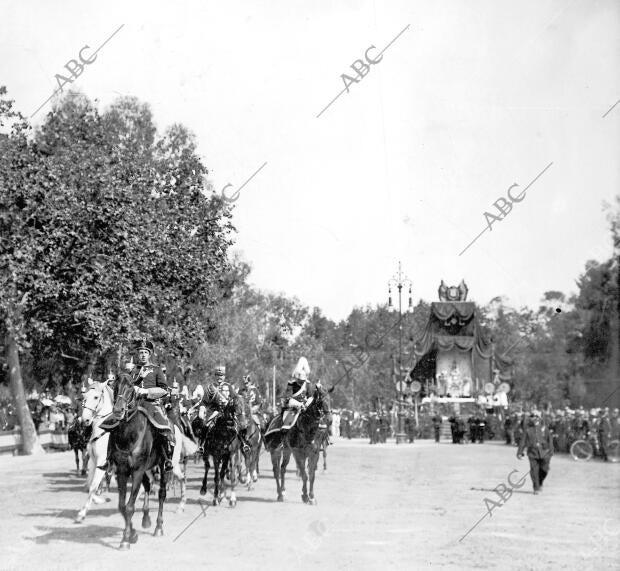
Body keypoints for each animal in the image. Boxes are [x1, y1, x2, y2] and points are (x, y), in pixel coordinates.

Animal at [75, 384, 114, 524]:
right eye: (84, 397)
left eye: (96, 397)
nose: (85, 419)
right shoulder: (93, 461)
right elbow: (89, 485)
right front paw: (101, 500)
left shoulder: (102, 461)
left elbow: (93, 486)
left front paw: (82, 513)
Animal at [108, 376, 168, 548]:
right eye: (115, 386)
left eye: (131, 388)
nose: (118, 410)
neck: (129, 435)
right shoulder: (122, 471)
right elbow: (122, 506)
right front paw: (132, 534)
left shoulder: (137, 471)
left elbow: (129, 506)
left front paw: (126, 539)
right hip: (147, 469)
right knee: (148, 486)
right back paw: (146, 518)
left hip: (163, 466)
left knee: (161, 493)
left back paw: (158, 527)